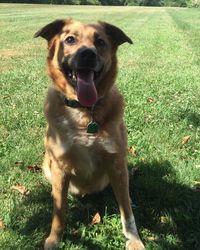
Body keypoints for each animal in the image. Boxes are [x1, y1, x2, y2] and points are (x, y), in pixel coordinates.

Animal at [34, 18, 144, 250]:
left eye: (100, 41)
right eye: (70, 39)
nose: (87, 54)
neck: (85, 113)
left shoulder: (117, 164)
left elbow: (127, 212)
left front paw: (134, 239)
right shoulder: (60, 168)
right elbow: (59, 211)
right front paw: (54, 238)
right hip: (48, 164)